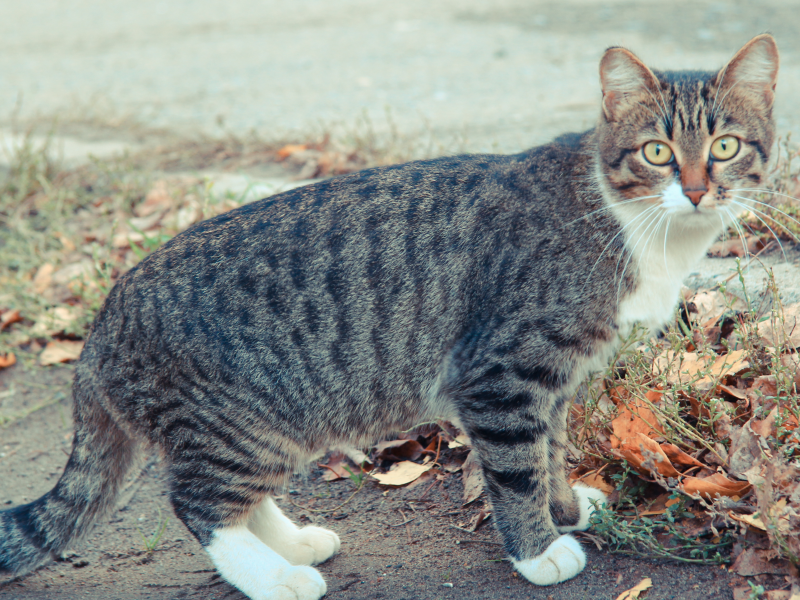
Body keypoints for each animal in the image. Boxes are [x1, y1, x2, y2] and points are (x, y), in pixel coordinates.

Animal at [0, 34, 776, 600]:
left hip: (268, 426)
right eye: (657, 152)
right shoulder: (501, 377)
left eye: (726, 147)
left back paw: (292, 542)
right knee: (197, 503)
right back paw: (275, 577)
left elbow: (550, 452)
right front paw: (537, 551)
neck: (631, 224)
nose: (699, 191)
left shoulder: (555, 382)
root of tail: (105, 319)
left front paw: (563, 510)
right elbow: (516, 469)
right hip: (237, 421)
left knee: (231, 497)